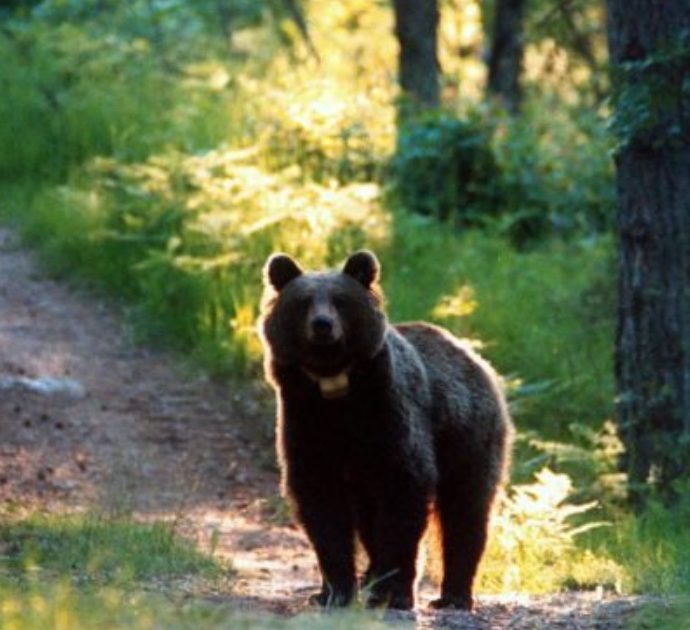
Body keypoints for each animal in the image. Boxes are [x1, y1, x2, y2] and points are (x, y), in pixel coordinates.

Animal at [258, 252, 510, 612]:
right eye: (304, 302)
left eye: (341, 300)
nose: (322, 325)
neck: (335, 390)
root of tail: (473, 356)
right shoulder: (306, 421)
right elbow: (321, 504)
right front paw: (334, 591)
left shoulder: (389, 417)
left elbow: (403, 493)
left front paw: (394, 593)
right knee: (368, 519)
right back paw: (369, 578)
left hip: (467, 434)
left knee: (466, 509)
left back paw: (453, 595)